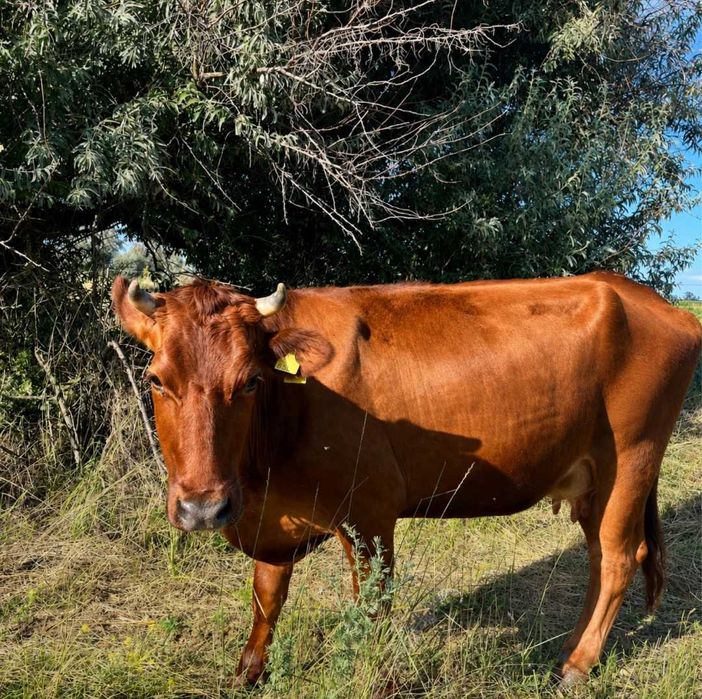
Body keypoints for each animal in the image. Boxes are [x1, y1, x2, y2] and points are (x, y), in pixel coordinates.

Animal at [112, 272, 701, 687]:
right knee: (600, 556)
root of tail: (639, 295)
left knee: (619, 557)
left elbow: (373, 607)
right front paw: (247, 673)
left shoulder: (370, 512)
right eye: (156, 379)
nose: (203, 509)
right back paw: (570, 655)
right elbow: (267, 595)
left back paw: (576, 667)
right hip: (595, 478)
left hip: (633, 457)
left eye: (251, 381)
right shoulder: (271, 519)